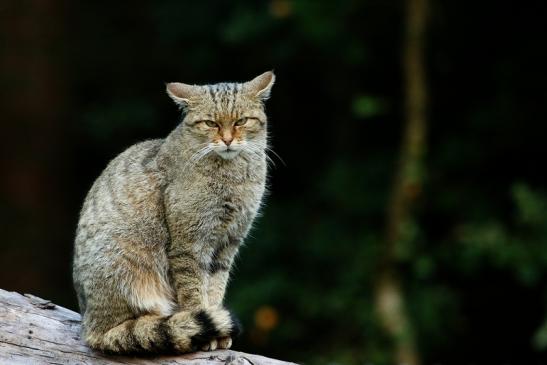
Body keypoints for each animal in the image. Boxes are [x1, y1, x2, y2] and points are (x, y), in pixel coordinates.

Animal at [72, 70, 276, 352]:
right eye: (210, 123)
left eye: (241, 121)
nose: (227, 140)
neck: (232, 176)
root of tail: (91, 327)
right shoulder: (189, 244)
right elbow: (193, 291)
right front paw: (206, 329)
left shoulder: (227, 243)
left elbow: (215, 289)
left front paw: (219, 331)